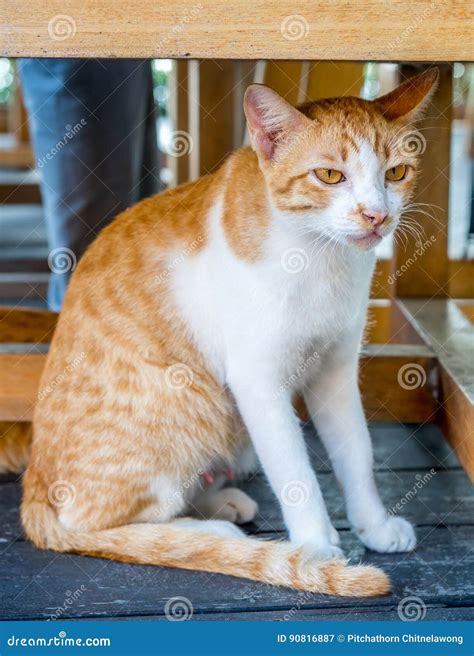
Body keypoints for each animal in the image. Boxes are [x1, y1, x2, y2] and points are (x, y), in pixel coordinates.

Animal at [20, 66, 438, 596]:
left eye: (396, 174)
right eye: (330, 176)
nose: (376, 215)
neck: (320, 258)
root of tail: (34, 479)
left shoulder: (336, 371)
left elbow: (357, 453)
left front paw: (375, 525)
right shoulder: (257, 381)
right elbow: (295, 472)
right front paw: (316, 546)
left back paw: (220, 503)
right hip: (191, 396)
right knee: (96, 524)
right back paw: (212, 533)